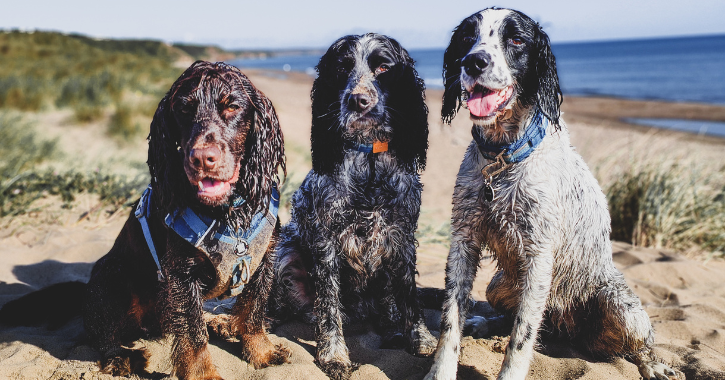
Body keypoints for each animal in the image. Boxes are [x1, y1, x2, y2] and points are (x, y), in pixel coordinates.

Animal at [268, 33, 432, 380]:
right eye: (342, 68)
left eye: (383, 67)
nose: (358, 100)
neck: (368, 163)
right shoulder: (326, 241)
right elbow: (329, 304)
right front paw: (334, 356)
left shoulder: (401, 236)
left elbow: (410, 296)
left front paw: (421, 339)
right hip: (285, 252)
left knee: (386, 305)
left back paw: (391, 329)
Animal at [422, 8, 680, 380]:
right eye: (468, 37)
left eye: (516, 39)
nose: (473, 61)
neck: (503, 159)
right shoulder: (463, 240)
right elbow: (450, 320)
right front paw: (441, 369)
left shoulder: (538, 256)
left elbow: (522, 337)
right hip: (498, 284)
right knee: (507, 316)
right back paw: (483, 322)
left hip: (621, 307)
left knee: (636, 346)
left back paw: (653, 365)